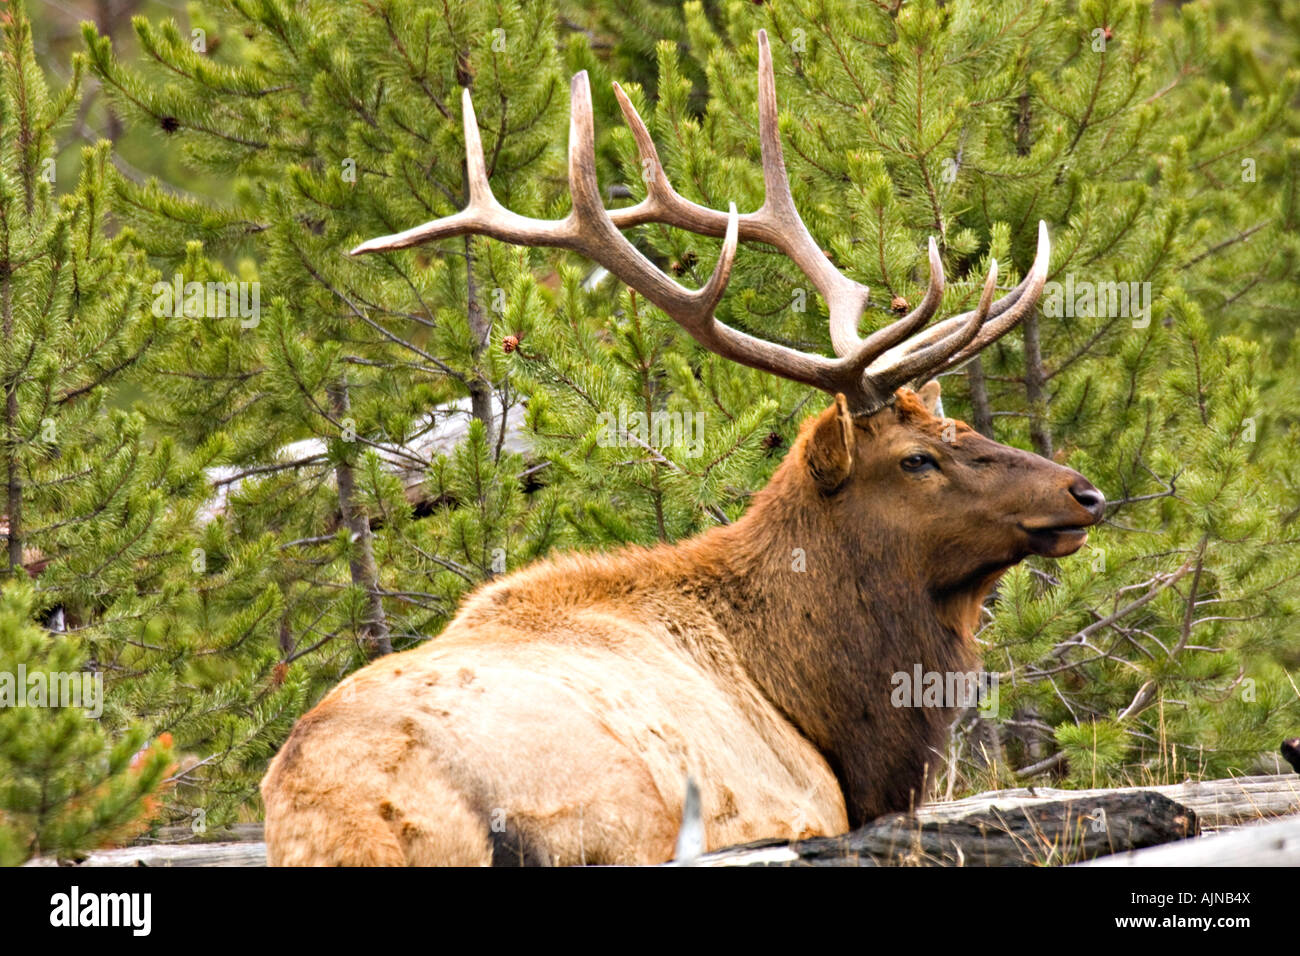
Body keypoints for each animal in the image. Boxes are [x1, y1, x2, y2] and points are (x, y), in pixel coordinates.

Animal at [263, 29, 1107, 868]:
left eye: (962, 430)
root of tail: (348, 822)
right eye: (917, 459)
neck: (819, 704)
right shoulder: (801, 798)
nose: (1084, 492)